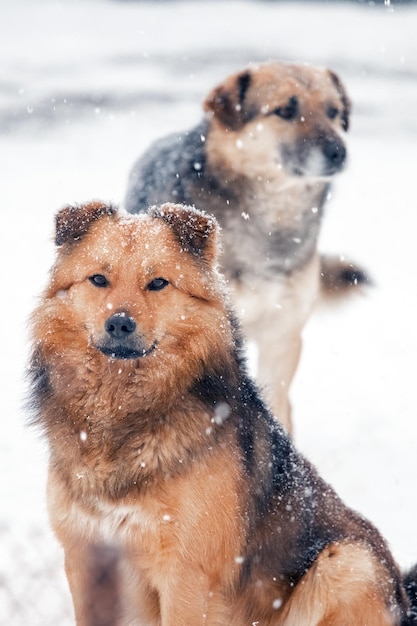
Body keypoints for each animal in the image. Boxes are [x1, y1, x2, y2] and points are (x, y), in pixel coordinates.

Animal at [29, 202, 412, 620]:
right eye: (98, 279)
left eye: (158, 283)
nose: (119, 323)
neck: (122, 413)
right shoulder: (84, 558)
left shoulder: (187, 575)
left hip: (347, 562)